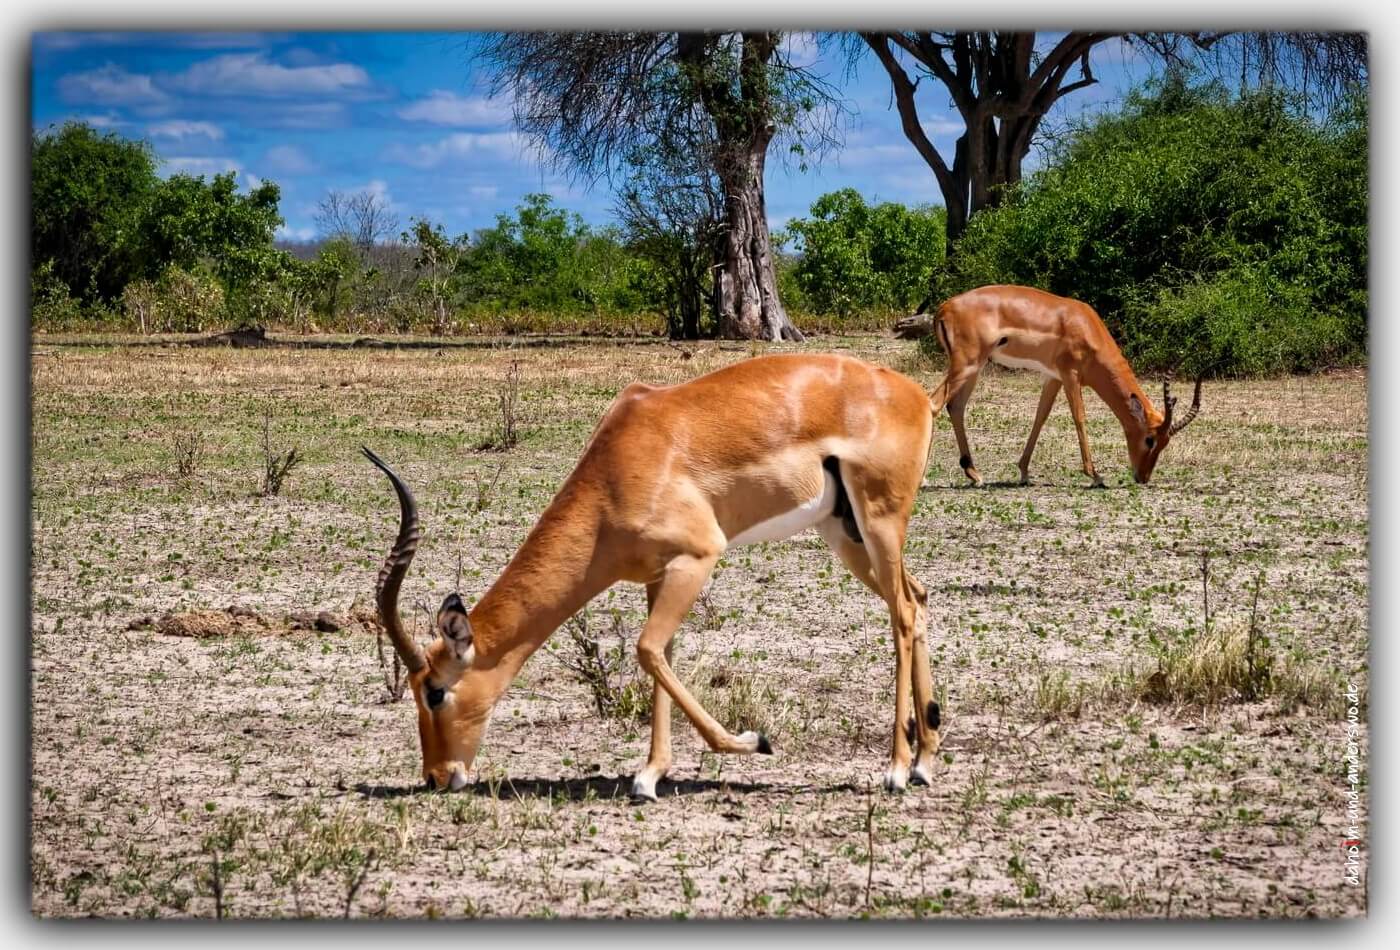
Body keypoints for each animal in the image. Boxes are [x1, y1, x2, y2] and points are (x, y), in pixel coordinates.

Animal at [362, 354, 941, 800]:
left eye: (435, 691)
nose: (437, 777)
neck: (619, 469)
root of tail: (918, 395)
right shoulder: (657, 576)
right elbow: (662, 656)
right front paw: (649, 776)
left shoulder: (697, 557)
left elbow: (645, 650)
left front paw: (754, 741)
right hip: (845, 534)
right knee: (917, 599)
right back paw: (924, 760)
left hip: (879, 523)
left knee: (902, 614)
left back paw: (895, 769)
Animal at [924, 285, 1202, 487]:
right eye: (1150, 439)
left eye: (1165, 443)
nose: (1142, 478)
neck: (1085, 325)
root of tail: (944, 308)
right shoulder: (1071, 375)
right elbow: (1079, 417)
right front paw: (1096, 475)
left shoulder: (1054, 377)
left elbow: (1041, 416)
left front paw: (1024, 473)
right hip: (966, 365)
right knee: (934, 403)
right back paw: (926, 478)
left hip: (974, 369)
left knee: (955, 407)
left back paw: (974, 474)